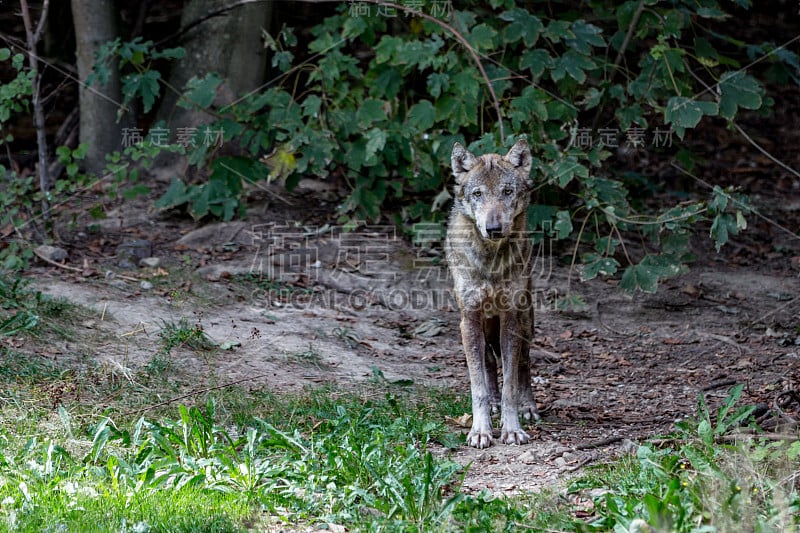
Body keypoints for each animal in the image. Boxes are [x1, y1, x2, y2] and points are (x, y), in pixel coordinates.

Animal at [444, 139, 536, 446]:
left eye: (507, 192)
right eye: (477, 194)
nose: (493, 228)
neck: (491, 261)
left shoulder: (511, 318)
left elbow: (511, 383)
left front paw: (513, 428)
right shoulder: (469, 320)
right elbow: (478, 386)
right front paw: (480, 431)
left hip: (526, 320)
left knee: (524, 364)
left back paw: (529, 407)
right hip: (483, 326)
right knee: (488, 363)